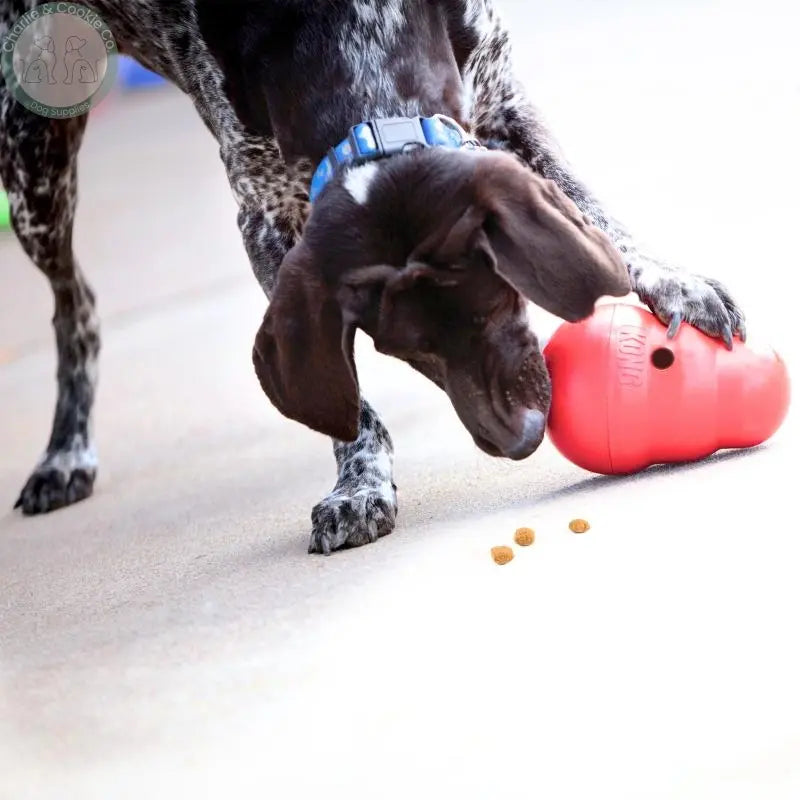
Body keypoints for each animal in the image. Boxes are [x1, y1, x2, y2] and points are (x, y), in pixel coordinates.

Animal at [3, 0, 748, 552]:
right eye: (407, 352)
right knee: (75, 304)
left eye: (499, 301)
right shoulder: (263, 217)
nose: (523, 439)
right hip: (30, 156)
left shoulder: (502, 100)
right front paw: (359, 482)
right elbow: (345, 401)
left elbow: (596, 217)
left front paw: (674, 282)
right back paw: (65, 453)